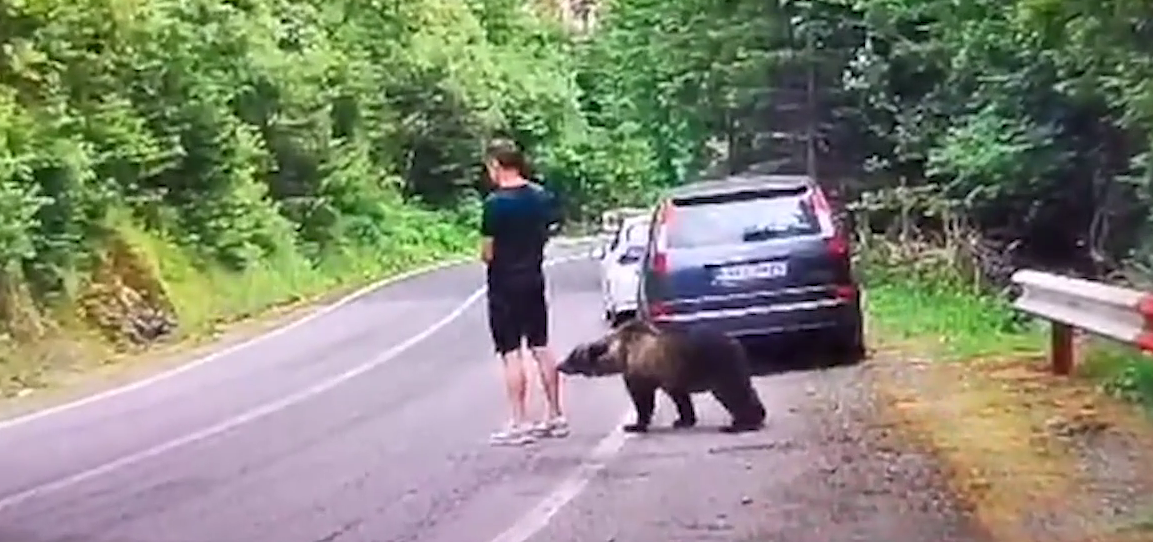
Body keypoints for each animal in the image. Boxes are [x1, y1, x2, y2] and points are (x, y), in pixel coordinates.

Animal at [557, 317, 766, 433]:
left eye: (572, 356)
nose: (560, 365)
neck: (621, 355)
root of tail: (734, 342)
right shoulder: (671, 377)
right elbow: (681, 399)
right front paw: (683, 421)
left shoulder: (640, 373)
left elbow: (643, 401)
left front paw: (635, 425)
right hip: (731, 365)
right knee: (744, 388)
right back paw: (751, 418)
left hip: (717, 364)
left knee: (732, 392)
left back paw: (739, 424)